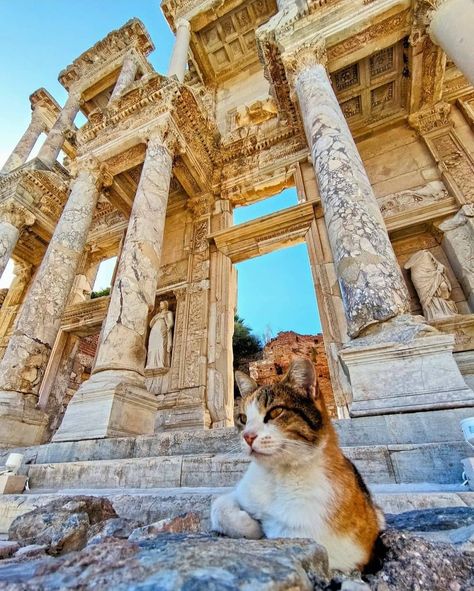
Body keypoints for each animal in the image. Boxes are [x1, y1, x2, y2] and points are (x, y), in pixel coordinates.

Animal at [211, 358, 386, 572]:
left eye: (276, 412)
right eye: (243, 418)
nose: (247, 436)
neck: (276, 476)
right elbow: (217, 505)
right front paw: (249, 525)